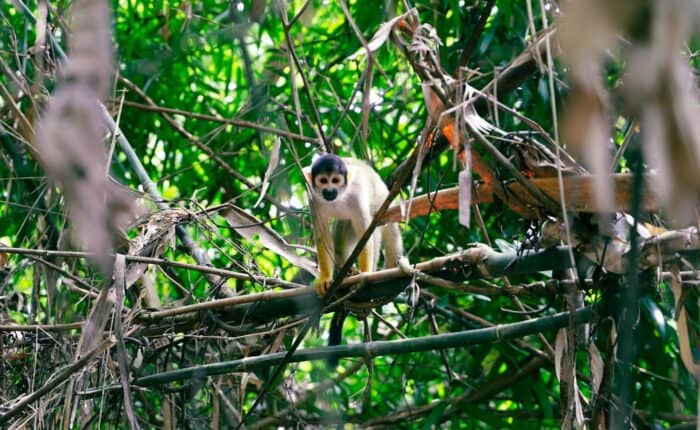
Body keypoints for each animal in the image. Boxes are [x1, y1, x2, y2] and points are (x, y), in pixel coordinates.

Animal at [303, 154, 404, 297]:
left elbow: (364, 234)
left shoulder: (357, 196)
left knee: (373, 229)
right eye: (323, 180)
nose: (329, 190)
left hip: (380, 205)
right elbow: (322, 235)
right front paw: (325, 279)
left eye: (335, 180)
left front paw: (365, 274)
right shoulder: (313, 198)